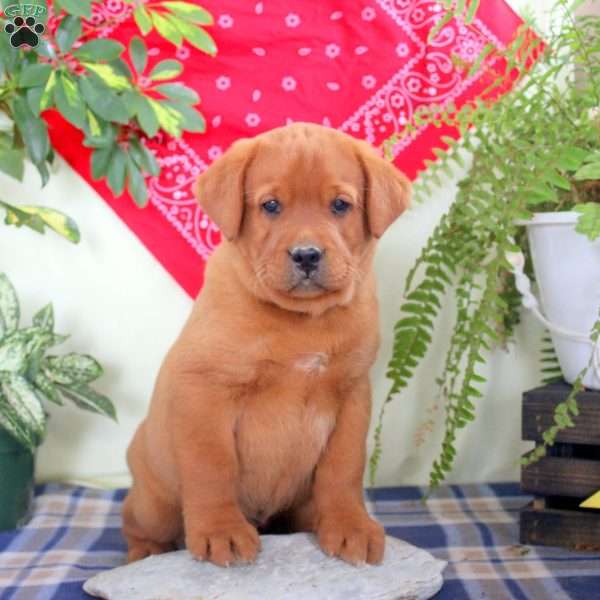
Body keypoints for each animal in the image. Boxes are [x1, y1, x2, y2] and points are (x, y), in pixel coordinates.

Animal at [124, 122, 410, 568]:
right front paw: (220, 530)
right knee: (135, 520)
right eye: (271, 205)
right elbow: (212, 466)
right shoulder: (205, 388)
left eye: (340, 205)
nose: (306, 255)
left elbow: (344, 468)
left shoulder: (352, 393)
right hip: (155, 501)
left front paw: (349, 525)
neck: (302, 320)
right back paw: (145, 552)